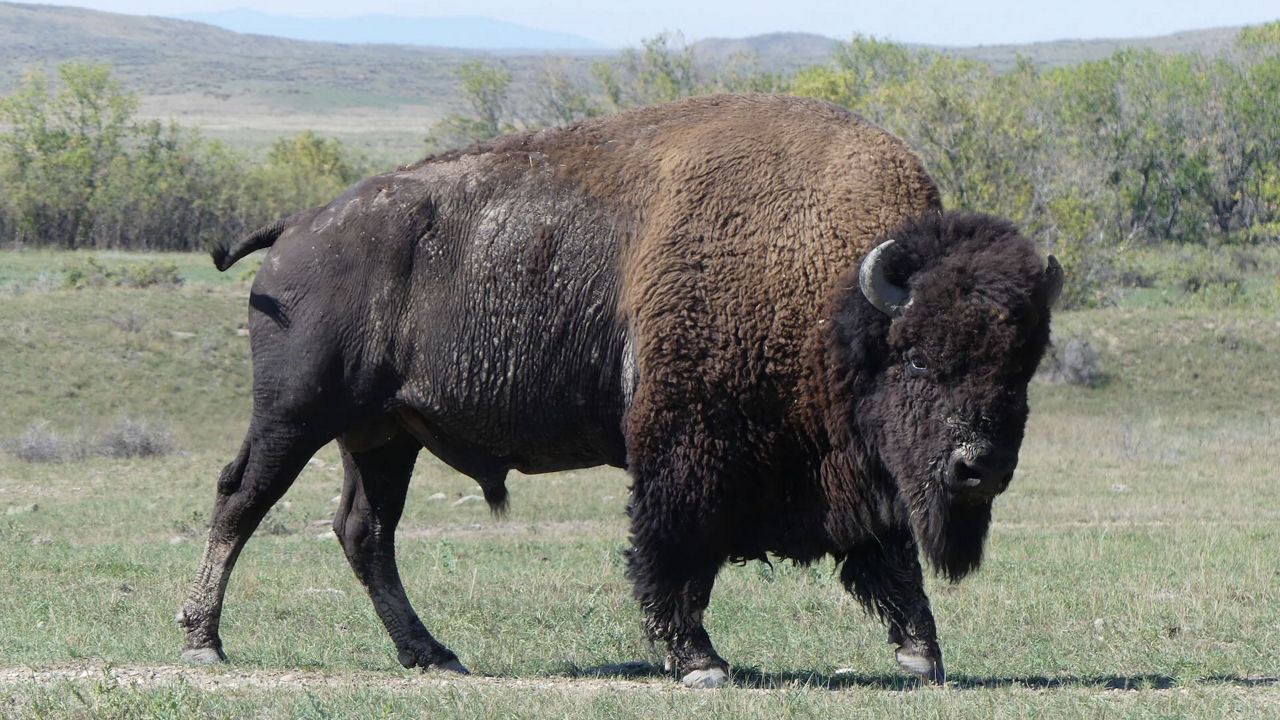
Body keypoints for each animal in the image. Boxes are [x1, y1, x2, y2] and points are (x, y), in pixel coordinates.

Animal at [177, 94, 1059, 681]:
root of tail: (299, 227)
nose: (978, 466)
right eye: (917, 359)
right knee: (241, 499)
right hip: (296, 415)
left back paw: (432, 654)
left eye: (1023, 364)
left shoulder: (856, 474)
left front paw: (923, 654)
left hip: (383, 436)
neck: (832, 289)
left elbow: (889, 553)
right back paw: (204, 642)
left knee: (366, 531)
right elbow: (678, 552)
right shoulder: (687, 449)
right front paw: (699, 660)